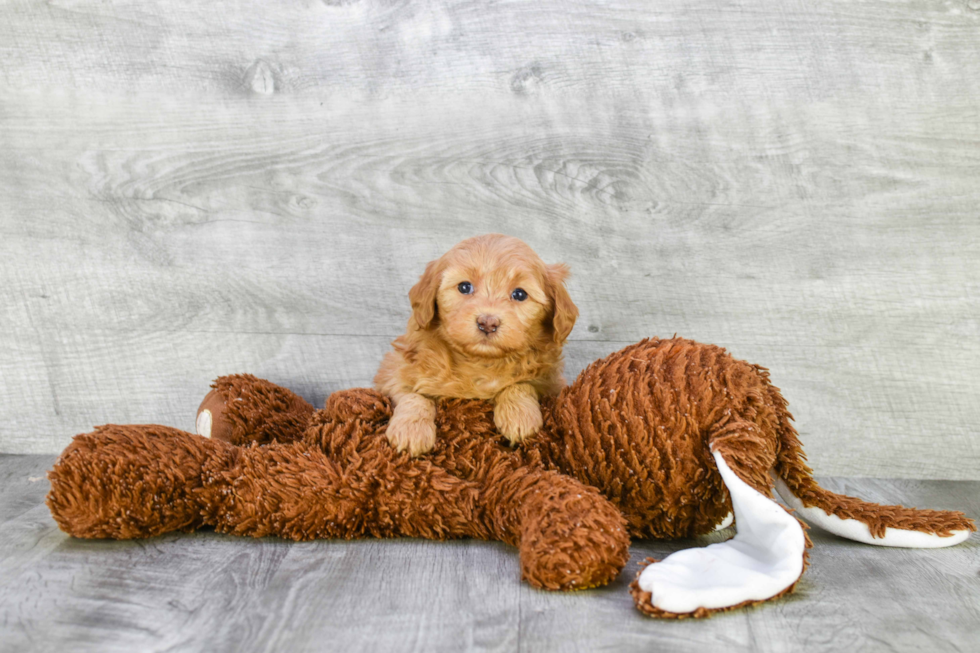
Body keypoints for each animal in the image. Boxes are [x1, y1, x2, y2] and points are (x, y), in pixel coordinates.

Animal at [374, 233, 576, 454]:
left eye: (520, 294)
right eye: (464, 287)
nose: (487, 323)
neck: (481, 363)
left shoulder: (552, 384)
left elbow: (521, 383)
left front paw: (519, 415)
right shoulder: (395, 368)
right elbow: (413, 394)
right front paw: (411, 430)